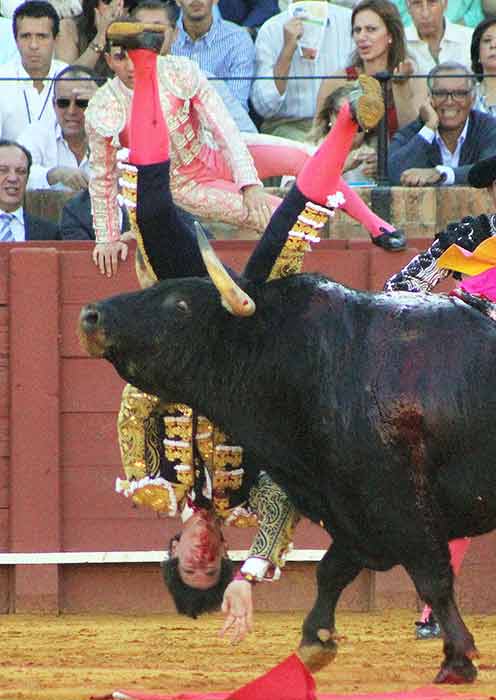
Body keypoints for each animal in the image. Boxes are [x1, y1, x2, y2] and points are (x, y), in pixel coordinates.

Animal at [79, 272, 496, 684]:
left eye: (179, 304)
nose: (91, 315)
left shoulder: (399, 503)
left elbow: (433, 579)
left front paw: (458, 660)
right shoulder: (352, 510)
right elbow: (330, 571)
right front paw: (315, 640)